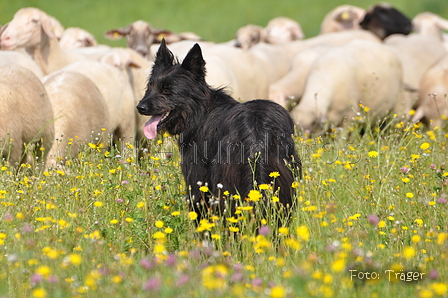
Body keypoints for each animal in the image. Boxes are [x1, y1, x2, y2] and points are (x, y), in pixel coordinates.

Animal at [136, 39, 300, 221]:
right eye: (150, 87)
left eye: (167, 90)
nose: (140, 107)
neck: (200, 111)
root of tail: (256, 129)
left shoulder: (197, 182)